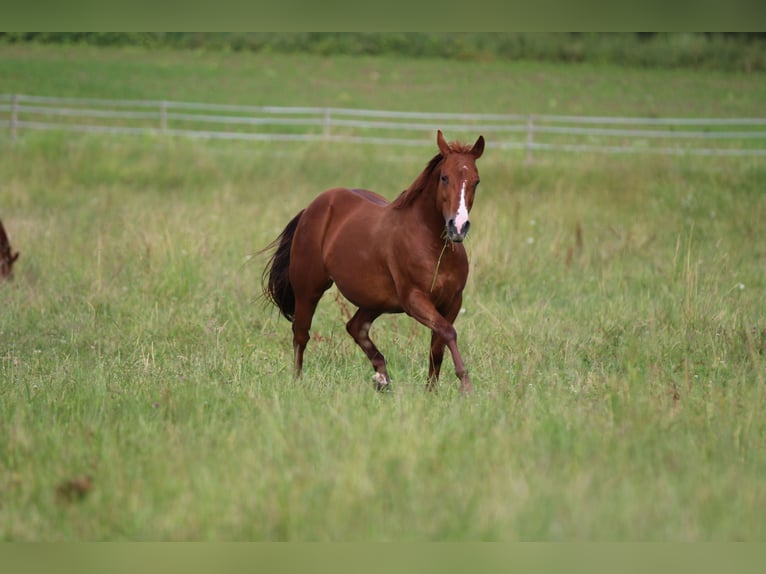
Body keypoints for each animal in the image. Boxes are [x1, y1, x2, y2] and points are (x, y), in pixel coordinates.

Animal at [260, 130, 484, 394]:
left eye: (476, 181)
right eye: (444, 178)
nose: (458, 227)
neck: (434, 248)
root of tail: (312, 208)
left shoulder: (453, 301)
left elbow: (437, 346)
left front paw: (431, 391)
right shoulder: (414, 299)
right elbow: (448, 333)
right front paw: (466, 384)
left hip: (374, 300)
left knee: (356, 327)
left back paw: (381, 378)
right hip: (308, 289)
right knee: (301, 335)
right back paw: (297, 383)